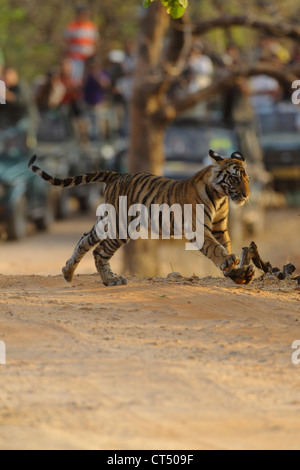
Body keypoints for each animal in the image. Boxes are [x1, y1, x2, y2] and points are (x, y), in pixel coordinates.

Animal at [28, 151, 254, 286]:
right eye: (235, 178)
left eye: (247, 179)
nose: (246, 195)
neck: (220, 196)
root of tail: (116, 174)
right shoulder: (198, 229)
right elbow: (215, 248)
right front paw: (228, 261)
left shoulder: (219, 228)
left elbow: (224, 244)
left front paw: (237, 272)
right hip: (121, 226)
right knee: (100, 251)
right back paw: (111, 280)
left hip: (107, 221)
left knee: (85, 239)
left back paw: (68, 272)